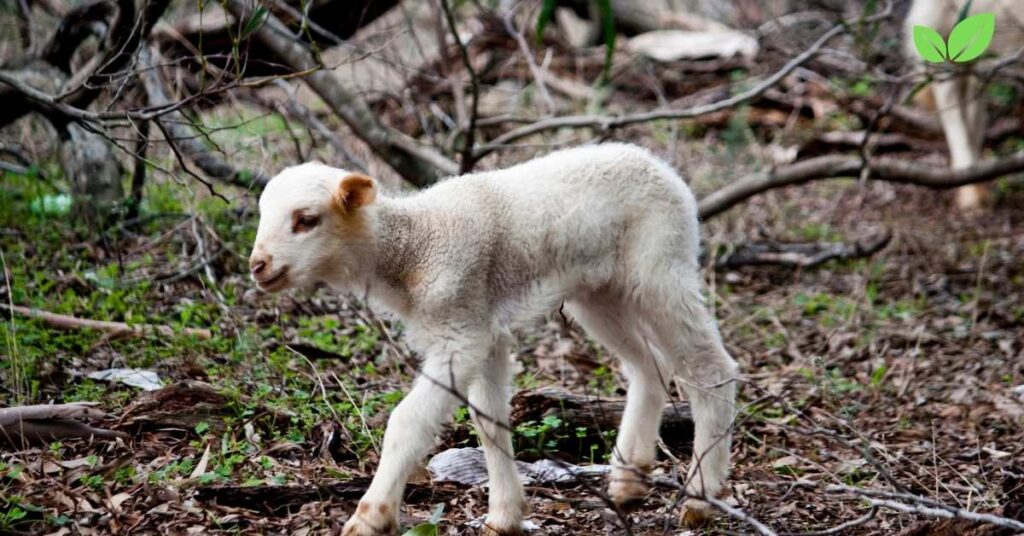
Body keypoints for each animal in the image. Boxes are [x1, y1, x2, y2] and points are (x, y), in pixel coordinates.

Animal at [250, 141, 741, 532]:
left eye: (306, 220)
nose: (257, 265)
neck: (411, 249)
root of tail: (661, 166)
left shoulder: (461, 334)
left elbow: (407, 423)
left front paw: (370, 517)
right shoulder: (483, 330)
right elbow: (489, 422)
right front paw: (504, 517)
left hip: (660, 268)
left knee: (710, 366)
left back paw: (700, 498)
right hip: (600, 293)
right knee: (649, 366)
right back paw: (628, 481)